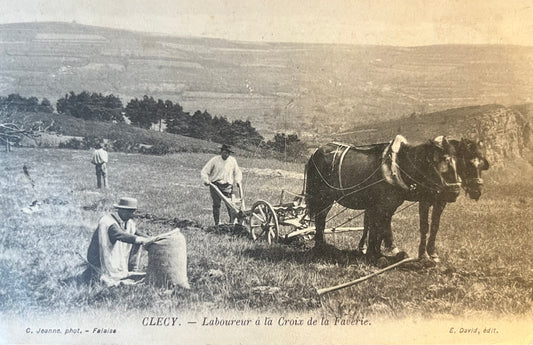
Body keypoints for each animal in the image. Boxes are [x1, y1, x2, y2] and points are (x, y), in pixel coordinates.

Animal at [304, 134, 462, 260]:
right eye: (441, 161)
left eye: (457, 161)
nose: (455, 191)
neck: (398, 166)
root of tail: (315, 153)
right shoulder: (382, 205)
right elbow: (378, 226)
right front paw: (375, 254)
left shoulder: (389, 205)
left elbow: (381, 226)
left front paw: (377, 252)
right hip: (322, 197)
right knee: (320, 219)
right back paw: (320, 247)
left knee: (321, 219)